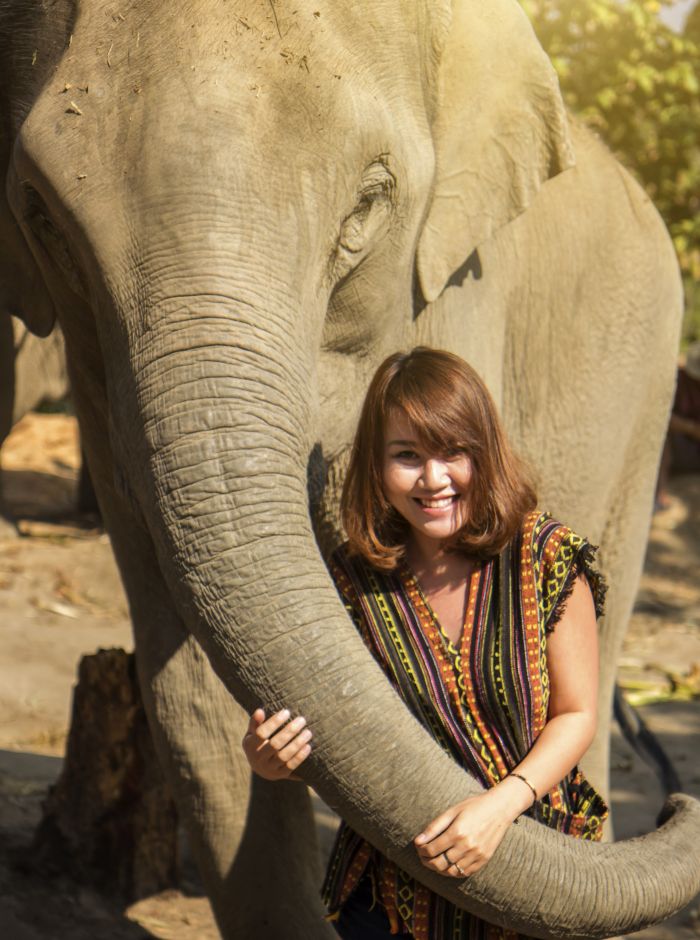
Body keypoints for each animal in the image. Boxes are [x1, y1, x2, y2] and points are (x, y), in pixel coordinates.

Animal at [1, 0, 700, 936]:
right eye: (40, 215)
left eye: (371, 200)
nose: (679, 805)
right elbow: (199, 701)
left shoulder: (456, 280)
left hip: (646, 397)